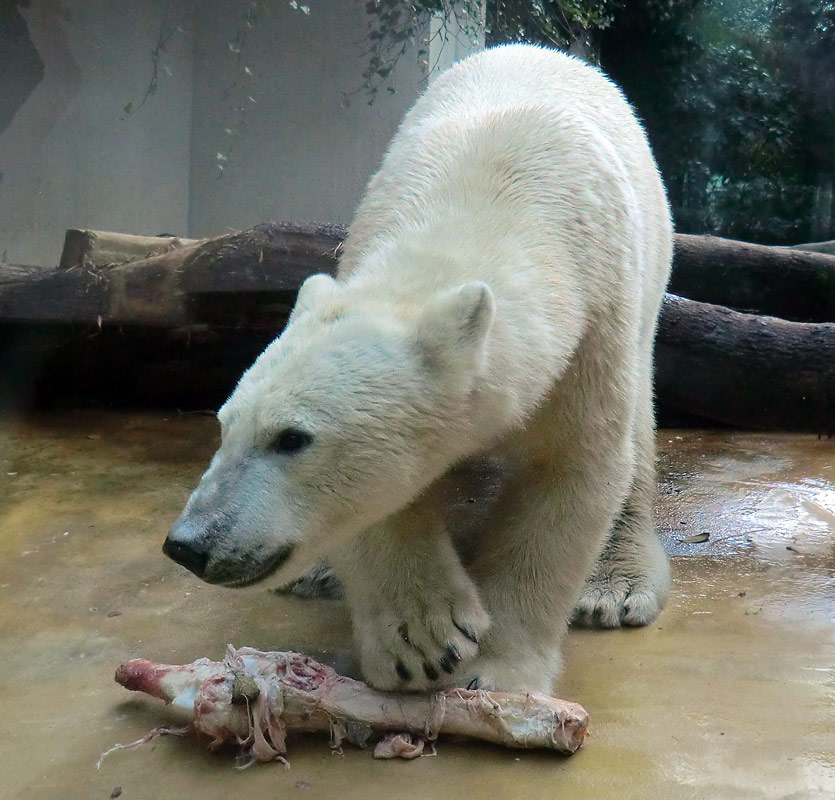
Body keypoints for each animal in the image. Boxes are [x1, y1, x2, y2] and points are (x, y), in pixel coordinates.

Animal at [163, 43, 672, 692]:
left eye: (292, 438)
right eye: (224, 425)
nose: (190, 544)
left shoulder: (593, 322)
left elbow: (568, 469)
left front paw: (497, 671)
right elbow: (382, 505)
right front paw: (424, 639)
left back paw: (614, 586)